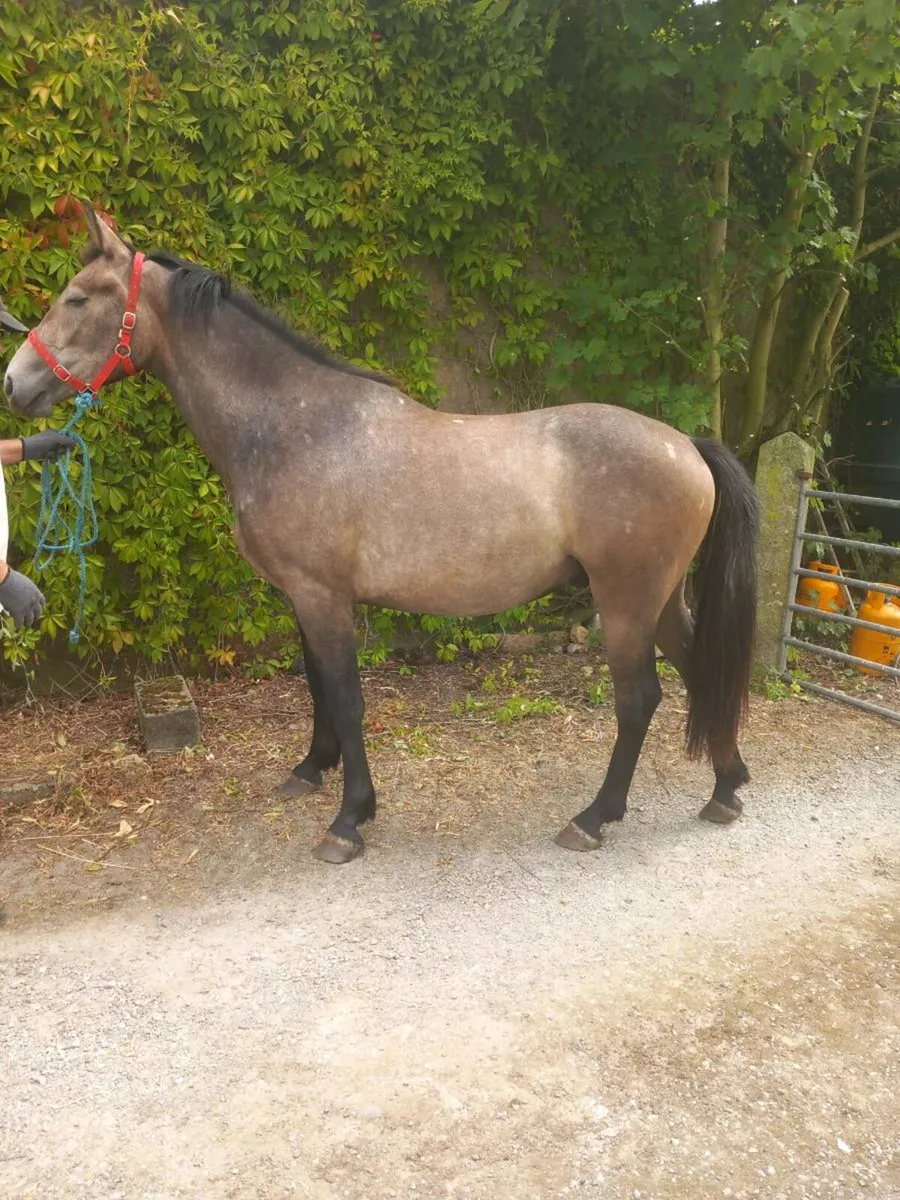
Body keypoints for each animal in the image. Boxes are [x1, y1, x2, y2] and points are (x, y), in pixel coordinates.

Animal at [4, 203, 759, 865]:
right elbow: (316, 684)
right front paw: (311, 770)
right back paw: (725, 789)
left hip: (625, 602)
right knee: (700, 670)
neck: (291, 424)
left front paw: (349, 820)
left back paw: (593, 818)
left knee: (639, 700)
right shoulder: (304, 596)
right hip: (662, 600)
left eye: (78, 299)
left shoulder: (323, 595)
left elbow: (345, 696)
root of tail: (688, 446)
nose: (14, 384)